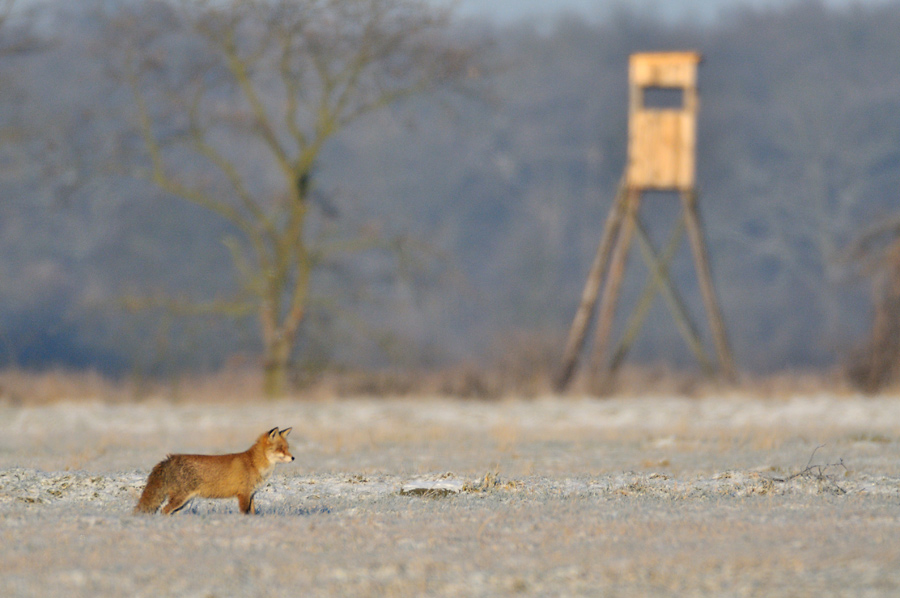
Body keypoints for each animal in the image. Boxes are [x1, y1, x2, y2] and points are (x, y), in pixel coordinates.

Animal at [135, 426, 296, 516]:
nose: (293, 458)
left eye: (287, 448)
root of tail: (170, 458)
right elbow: (245, 514)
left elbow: (253, 513)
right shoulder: (243, 494)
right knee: (164, 510)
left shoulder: (251, 495)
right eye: (281, 449)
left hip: (183, 502)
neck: (254, 464)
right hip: (181, 498)